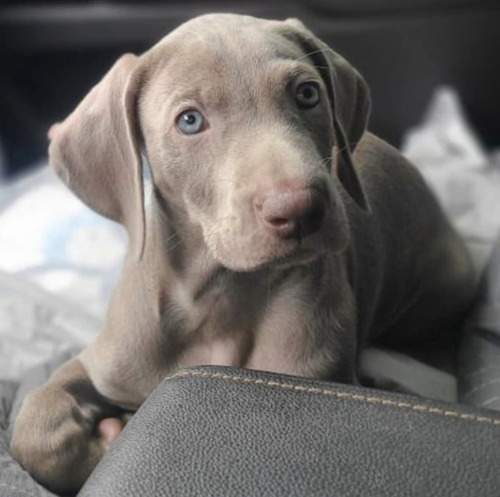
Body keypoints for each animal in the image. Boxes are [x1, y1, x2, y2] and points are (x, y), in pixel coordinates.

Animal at [9, 13, 474, 494]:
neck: (215, 295)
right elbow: (34, 427)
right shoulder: (106, 361)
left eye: (307, 93)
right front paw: (97, 441)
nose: (300, 209)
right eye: (189, 121)